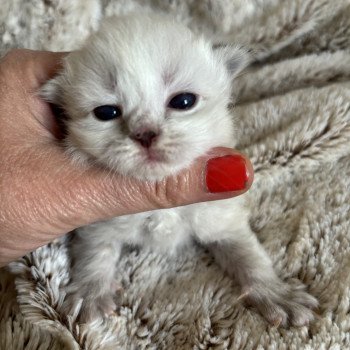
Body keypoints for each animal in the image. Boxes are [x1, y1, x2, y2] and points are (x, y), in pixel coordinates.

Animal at [41, 13, 318, 326]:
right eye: (106, 112)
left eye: (183, 102)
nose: (145, 134)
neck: (162, 208)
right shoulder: (99, 220)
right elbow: (95, 253)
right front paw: (90, 293)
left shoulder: (221, 217)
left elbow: (248, 254)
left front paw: (275, 293)